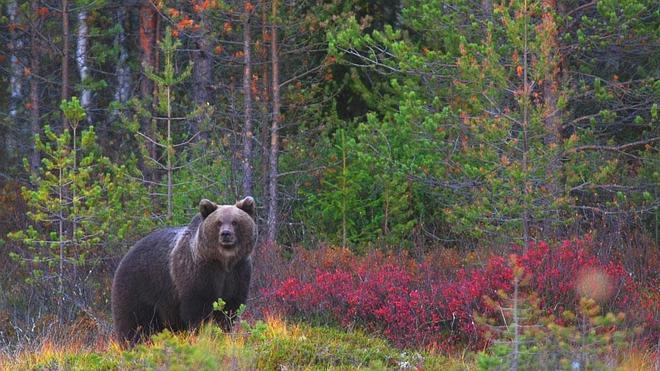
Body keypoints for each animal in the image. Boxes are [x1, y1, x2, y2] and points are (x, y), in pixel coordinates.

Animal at [111, 198, 255, 346]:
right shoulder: (199, 272)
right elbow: (198, 309)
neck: (223, 261)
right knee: (134, 324)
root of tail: (125, 256)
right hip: (137, 288)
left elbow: (230, 308)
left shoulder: (238, 272)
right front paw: (204, 335)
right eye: (218, 222)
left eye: (235, 222)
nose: (225, 234)